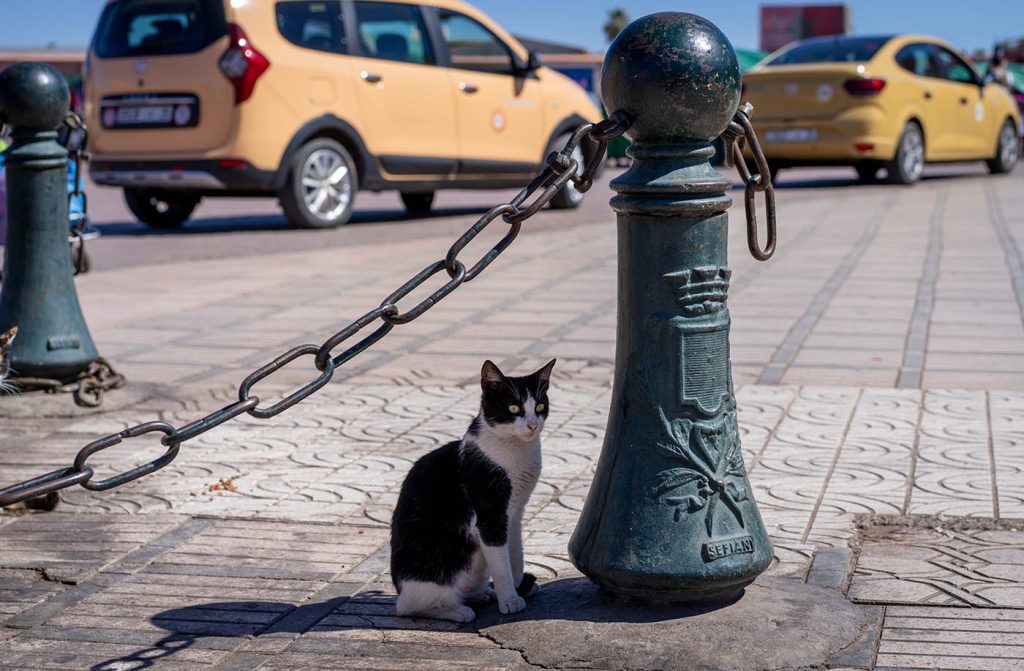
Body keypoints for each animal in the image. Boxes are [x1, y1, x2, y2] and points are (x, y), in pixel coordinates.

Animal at [389, 360, 552, 622]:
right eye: (514, 407)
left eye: (539, 406)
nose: (532, 425)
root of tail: (399, 588)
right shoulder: (490, 515)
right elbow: (501, 563)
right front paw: (510, 599)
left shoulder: (515, 512)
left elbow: (515, 552)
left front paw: (517, 584)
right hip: (432, 571)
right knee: (410, 607)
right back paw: (457, 610)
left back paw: (482, 593)